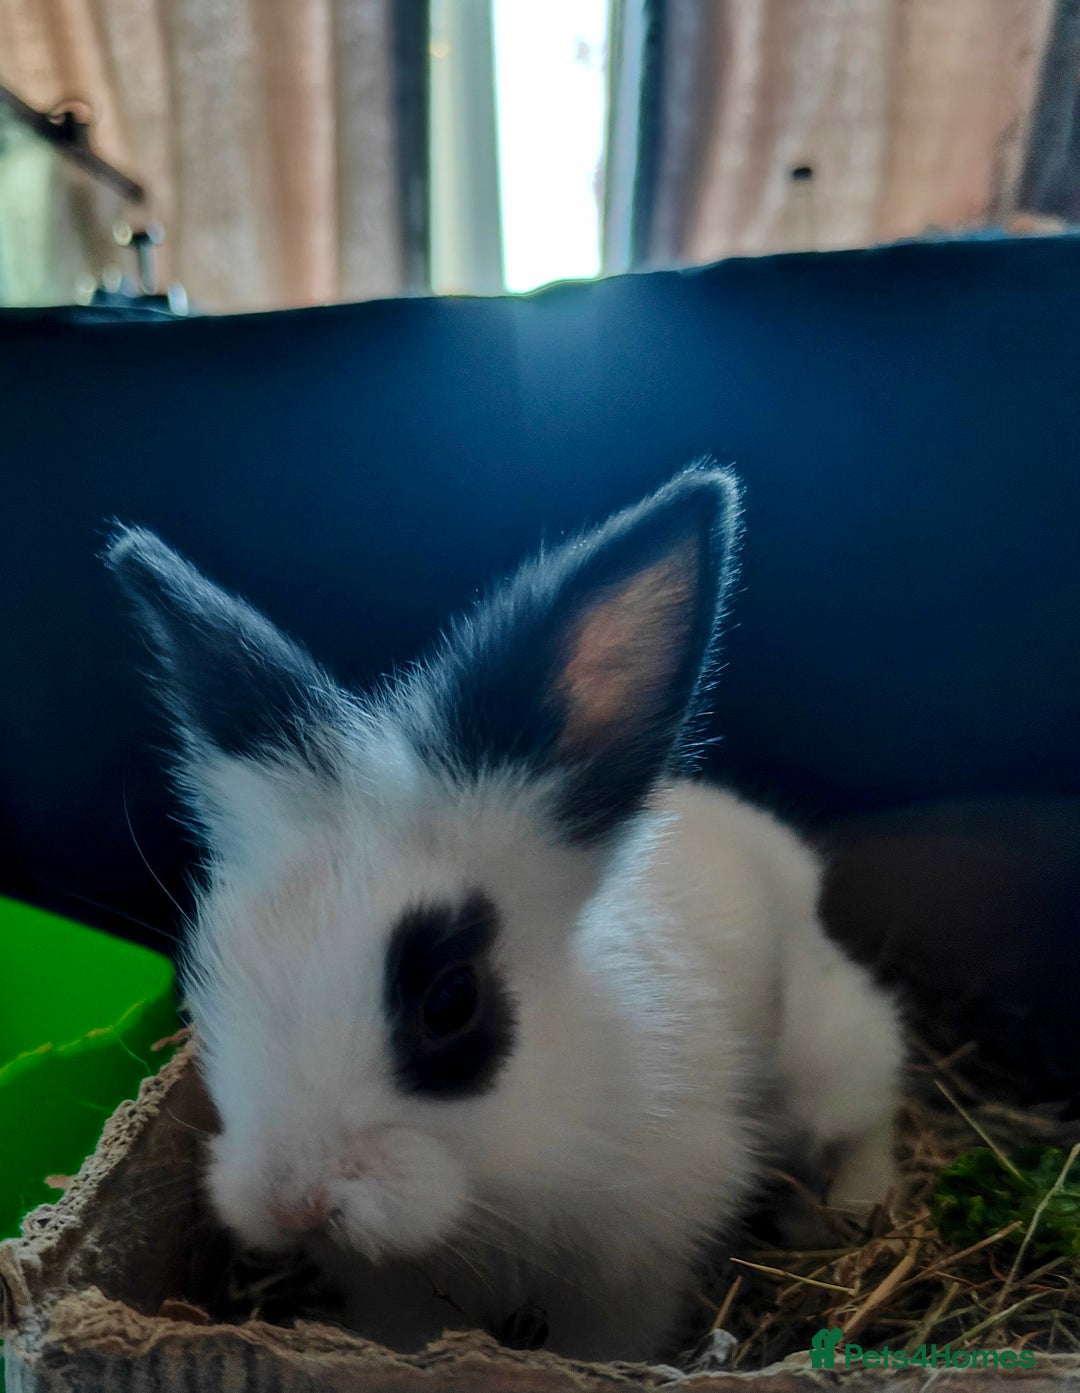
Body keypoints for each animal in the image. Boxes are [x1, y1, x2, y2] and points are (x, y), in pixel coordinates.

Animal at [105, 467, 901, 1362]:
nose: (295, 1201)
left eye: (451, 1000)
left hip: (831, 1056)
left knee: (876, 1100)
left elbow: (607, 1341)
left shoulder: (638, 1258)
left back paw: (837, 1212)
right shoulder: (398, 1289)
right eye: (218, 973)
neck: (499, 1178)